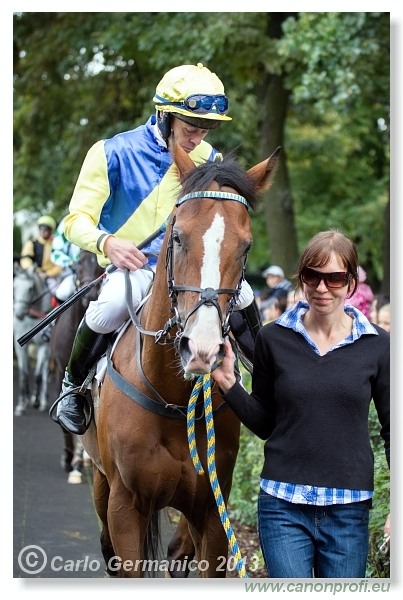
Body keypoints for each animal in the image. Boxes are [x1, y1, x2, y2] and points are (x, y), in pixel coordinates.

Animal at [13, 264, 53, 414]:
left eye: (30, 289)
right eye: (14, 287)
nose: (18, 313)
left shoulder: (44, 345)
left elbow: (38, 375)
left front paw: (36, 400)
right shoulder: (19, 346)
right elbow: (24, 374)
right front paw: (21, 404)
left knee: (45, 370)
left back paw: (42, 400)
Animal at [82, 143, 280, 580]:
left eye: (246, 246)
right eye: (177, 236)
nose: (201, 348)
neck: (170, 398)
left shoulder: (211, 510)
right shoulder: (125, 506)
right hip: (101, 482)